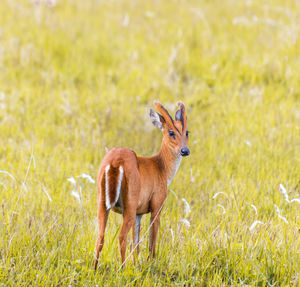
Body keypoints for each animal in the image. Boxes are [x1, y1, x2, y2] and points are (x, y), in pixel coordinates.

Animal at [94, 101, 190, 270]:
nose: (185, 150)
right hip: (130, 202)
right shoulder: (157, 205)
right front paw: (150, 263)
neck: (162, 169)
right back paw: (123, 268)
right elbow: (152, 240)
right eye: (171, 132)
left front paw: (136, 265)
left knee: (100, 236)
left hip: (103, 201)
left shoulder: (139, 212)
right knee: (121, 236)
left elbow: (136, 242)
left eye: (187, 132)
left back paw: (94, 269)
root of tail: (115, 163)